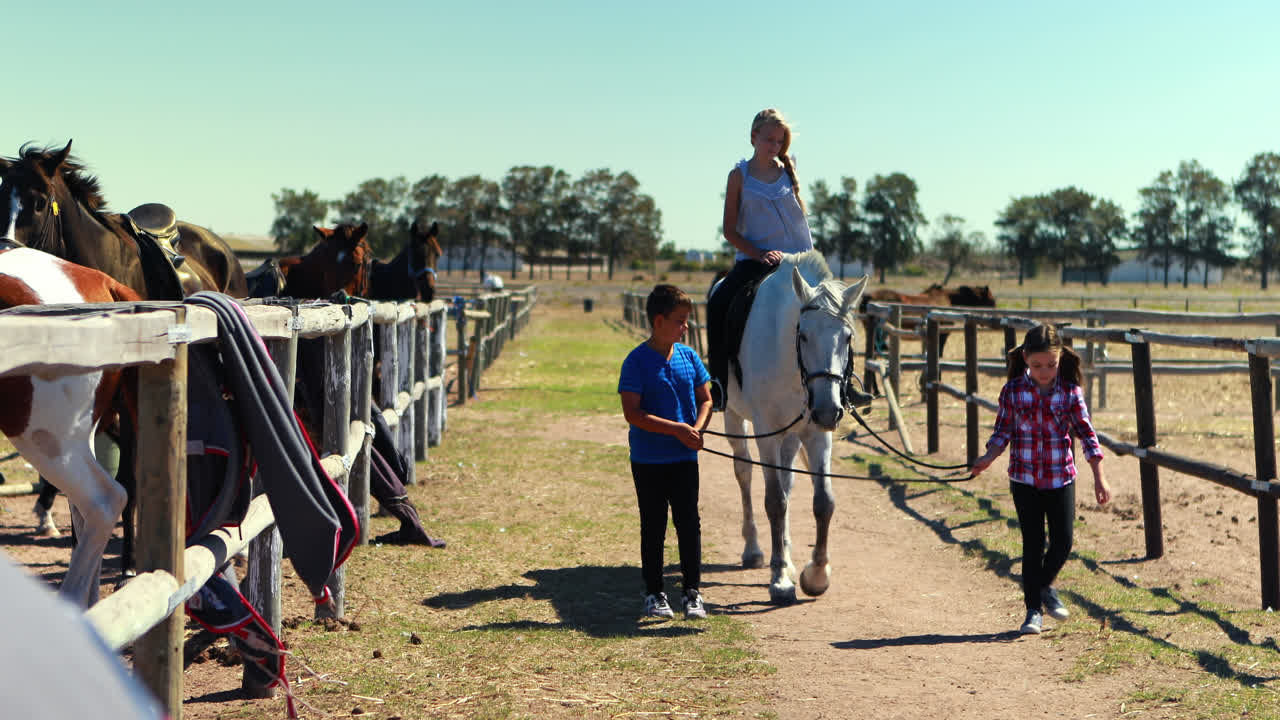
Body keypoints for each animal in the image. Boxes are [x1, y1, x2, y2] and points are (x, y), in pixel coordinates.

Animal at [721, 250, 867, 603]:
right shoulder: (766, 431)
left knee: (787, 481)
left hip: (792, 436)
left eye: (847, 337)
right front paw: (779, 581)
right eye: (803, 335)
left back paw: (786, 555)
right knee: (744, 473)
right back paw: (754, 550)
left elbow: (823, 501)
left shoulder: (816, 433)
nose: (827, 410)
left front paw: (816, 575)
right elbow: (774, 501)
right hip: (735, 418)